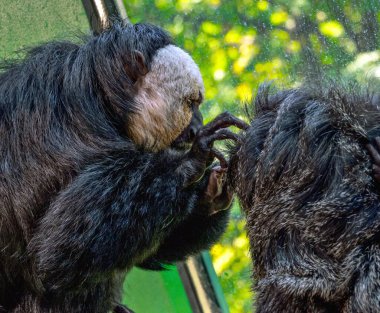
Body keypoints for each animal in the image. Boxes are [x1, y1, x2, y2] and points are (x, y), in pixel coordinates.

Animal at [0, 22, 246, 312]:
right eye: (191, 103)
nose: (197, 126)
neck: (105, 105)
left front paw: (210, 193)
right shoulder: (60, 140)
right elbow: (57, 254)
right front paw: (193, 159)